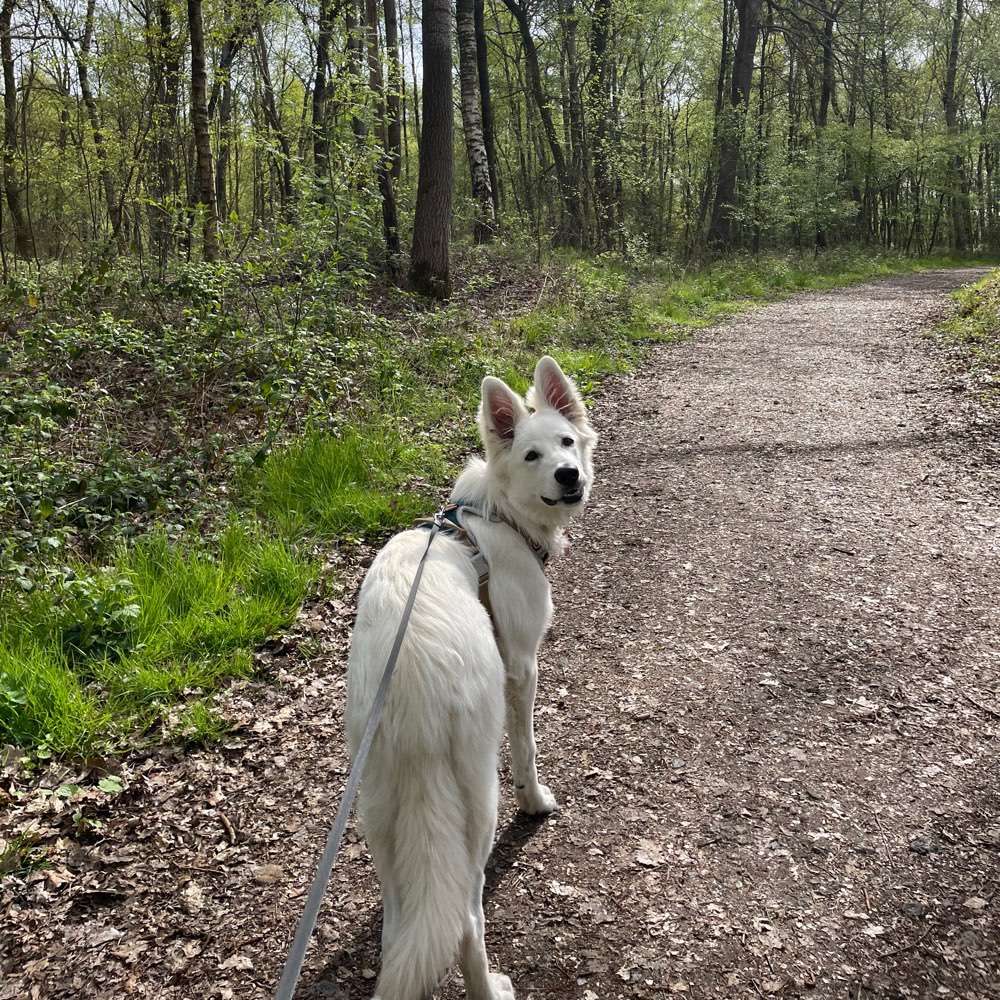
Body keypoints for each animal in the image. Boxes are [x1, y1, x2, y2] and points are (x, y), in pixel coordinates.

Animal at [344, 358, 592, 1000]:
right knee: (466, 918)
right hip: (476, 801)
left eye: (566, 441)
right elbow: (527, 747)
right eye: (531, 455)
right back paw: (490, 987)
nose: (570, 475)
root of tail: (411, 693)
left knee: (403, 928)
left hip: (381, 812)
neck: (494, 516)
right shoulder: (522, 664)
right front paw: (537, 801)